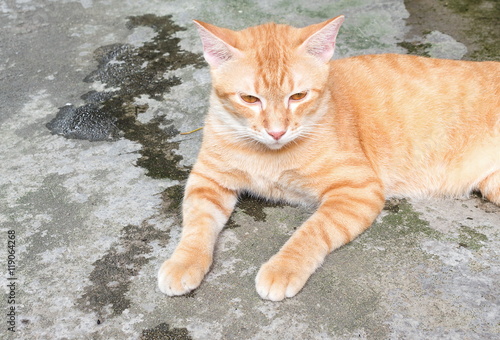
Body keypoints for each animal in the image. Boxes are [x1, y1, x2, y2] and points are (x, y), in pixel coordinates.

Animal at [157, 17, 500, 302]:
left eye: (298, 96)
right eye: (250, 99)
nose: (277, 131)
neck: (269, 155)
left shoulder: (359, 189)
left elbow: (311, 232)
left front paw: (283, 267)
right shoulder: (207, 179)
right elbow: (197, 224)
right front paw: (183, 262)